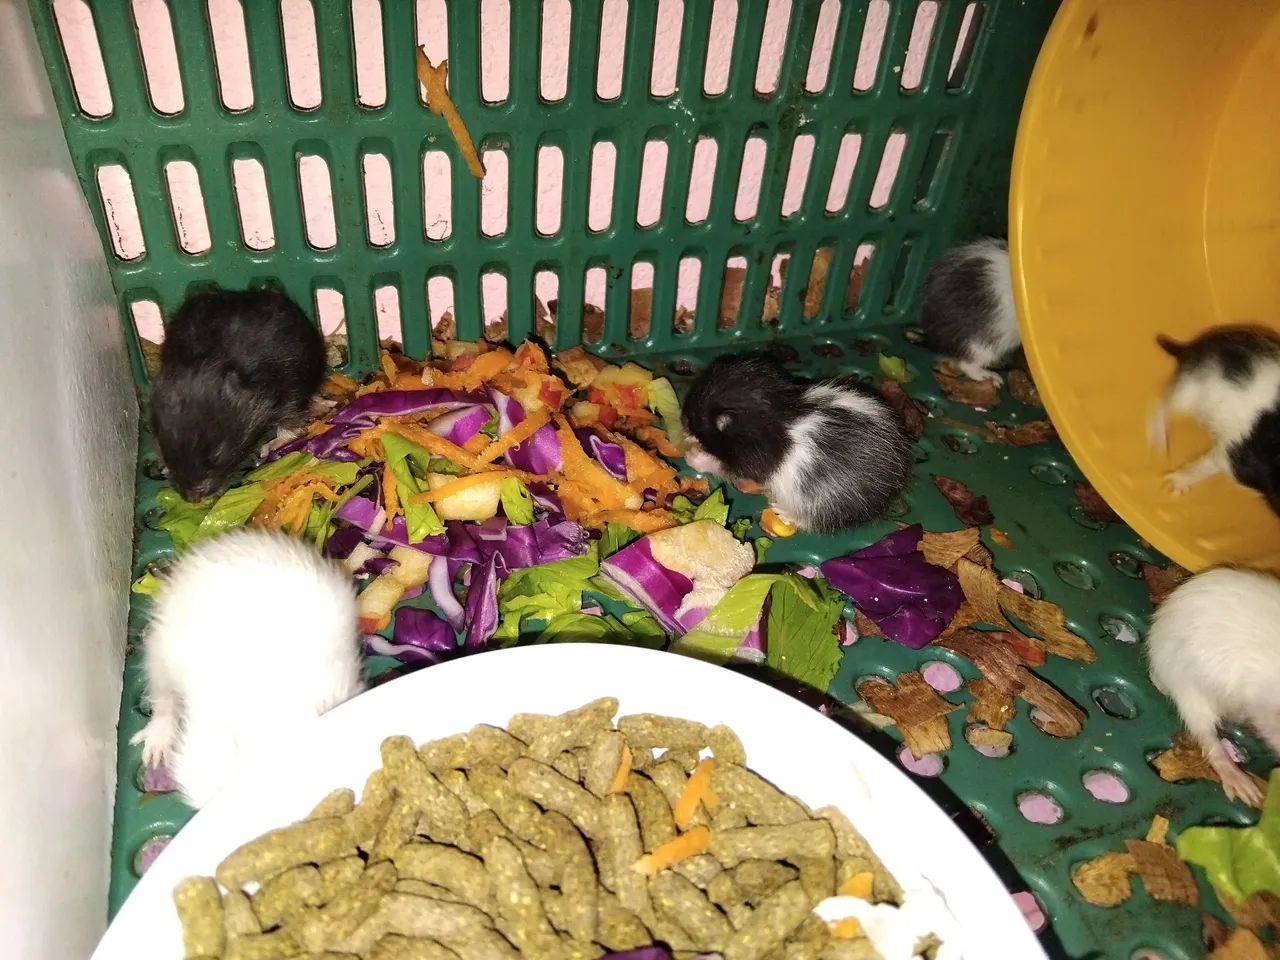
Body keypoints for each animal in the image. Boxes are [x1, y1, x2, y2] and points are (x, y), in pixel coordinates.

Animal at [151, 286, 326, 502]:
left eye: (217, 454)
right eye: (164, 450)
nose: (192, 499)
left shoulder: (289, 391)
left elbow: (291, 425)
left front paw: (268, 448)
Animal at [680, 353, 912, 533]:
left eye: (695, 417)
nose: (682, 421)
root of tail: (895, 485)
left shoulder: (753, 462)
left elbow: (724, 467)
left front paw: (694, 456)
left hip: (825, 503)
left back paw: (781, 511)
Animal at [1147, 325, 1280, 513]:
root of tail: (1189, 348)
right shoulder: (1233, 456)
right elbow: (1207, 465)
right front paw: (1174, 486)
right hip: (1189, 391)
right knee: (1163, 404)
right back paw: (1159, 445)